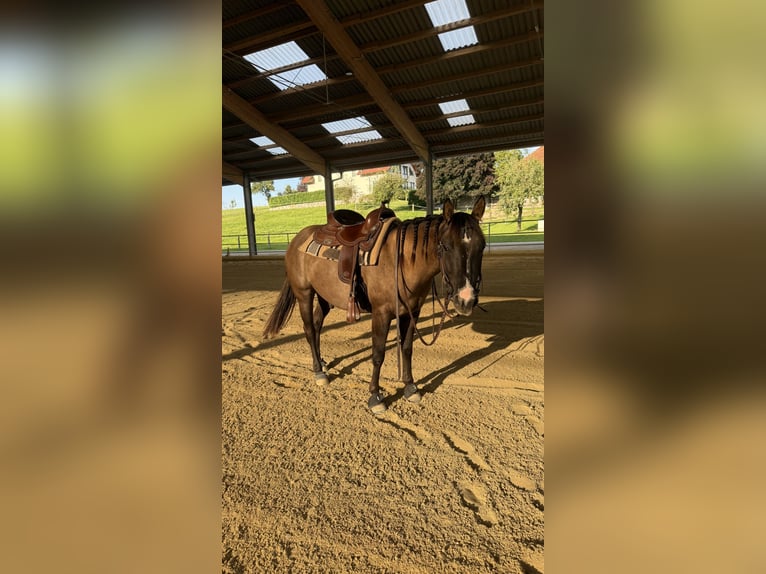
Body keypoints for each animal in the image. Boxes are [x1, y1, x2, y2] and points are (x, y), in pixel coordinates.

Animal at [263, 196, 486, 414]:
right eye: (446, 246)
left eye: (482, 246)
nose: (466, 300)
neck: (402, 260)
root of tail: (297, 240)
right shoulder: (382, 313)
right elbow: (378, 354)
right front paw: (375, 397)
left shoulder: (411, 311)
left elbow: (407, 348)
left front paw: (410, 387)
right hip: (304, 294)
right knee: (309, 329)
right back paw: (319, 372)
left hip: (325, 296)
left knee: (317, 325)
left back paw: (323, 363)